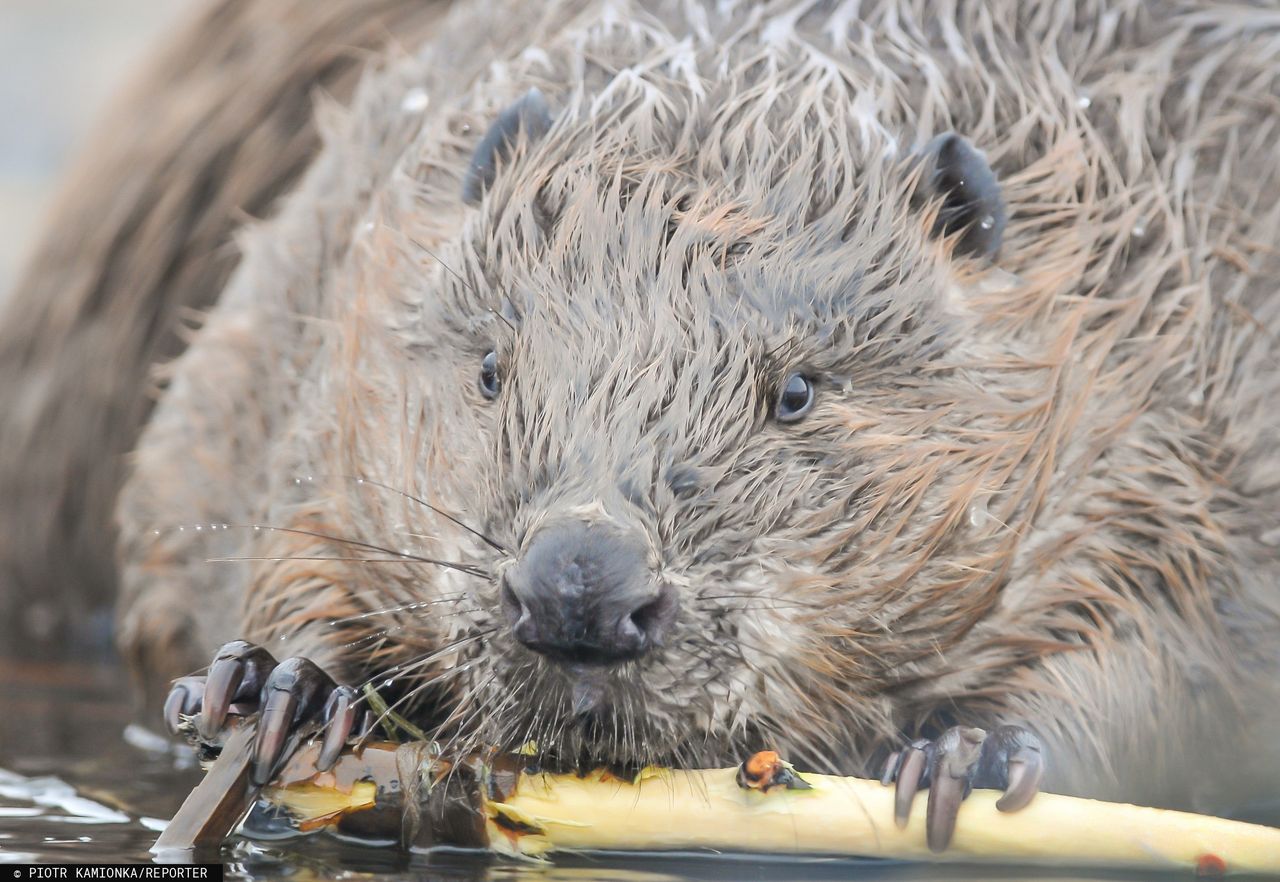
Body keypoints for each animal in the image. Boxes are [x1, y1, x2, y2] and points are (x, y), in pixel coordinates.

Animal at [2, 0, 1280, 855]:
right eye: (489, 367)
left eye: (796, 389)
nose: (579, 591)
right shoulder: (336, 289)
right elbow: (285, 516)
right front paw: (283, 686)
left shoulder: (1174, 399)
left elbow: (1167, 655)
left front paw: (964, 759)